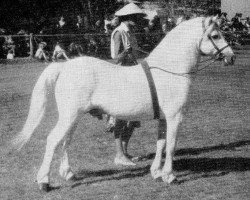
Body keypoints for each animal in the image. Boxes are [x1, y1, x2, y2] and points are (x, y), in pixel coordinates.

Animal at [11, 16, 234, 191]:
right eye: (215, 36)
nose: (231, 57)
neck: (170, 71)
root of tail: (65, 66)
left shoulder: (163, 118)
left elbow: (161, 144)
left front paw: (156, 172)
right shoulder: (175, 117)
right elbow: (171, 146)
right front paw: (170, 176)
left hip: (74, 117)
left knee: (65, 141)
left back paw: (68, 174)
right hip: (70, 116)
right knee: (53, 140)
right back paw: (44, 182)